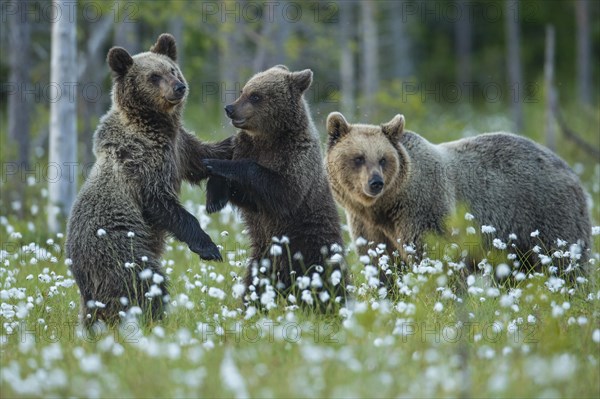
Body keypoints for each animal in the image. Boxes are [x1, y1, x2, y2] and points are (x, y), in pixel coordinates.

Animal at [66, 34, 232, 328]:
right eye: (154, 76)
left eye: (173, 70)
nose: (179, 87)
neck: (154, 124)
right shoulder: (141, 162)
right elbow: (162, 202)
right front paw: (208, 247)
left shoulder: (178, 147)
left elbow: (203, 157)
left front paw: (233, 145)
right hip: (121, 250)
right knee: (144, 282)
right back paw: (153, 319)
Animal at [204, 65, 346, 310]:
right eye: (243, 90)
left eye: (255, 96)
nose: (230, 108)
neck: (269, 138)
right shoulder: (246, 147)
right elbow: (249, 197)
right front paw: (214, 198)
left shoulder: (296, 159)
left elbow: (281, 190)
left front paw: (216, 164)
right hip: (262, 258)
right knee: (254, 284)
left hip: (313, 245)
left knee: (328, 279)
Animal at [324, 112, 592, 274]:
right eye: (359, 157)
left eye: (383, 159)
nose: (376, 183)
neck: (386, 206)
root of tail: (570, 170)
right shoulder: (368, 225)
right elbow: (380, 262)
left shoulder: (422, 206)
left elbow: (435, 253)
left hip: (546, 212)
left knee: (564, 259)